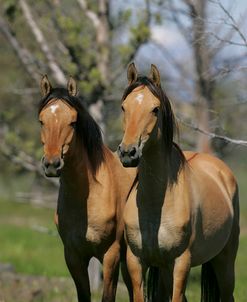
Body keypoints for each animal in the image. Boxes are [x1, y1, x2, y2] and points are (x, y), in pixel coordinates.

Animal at [117, 62, 239, 300]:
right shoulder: (136, 262)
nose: (128, 153)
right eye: (124, 107)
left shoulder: (181, 263)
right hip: (165, 270)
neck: (156, 203)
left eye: (155, 109)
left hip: (225, 263)